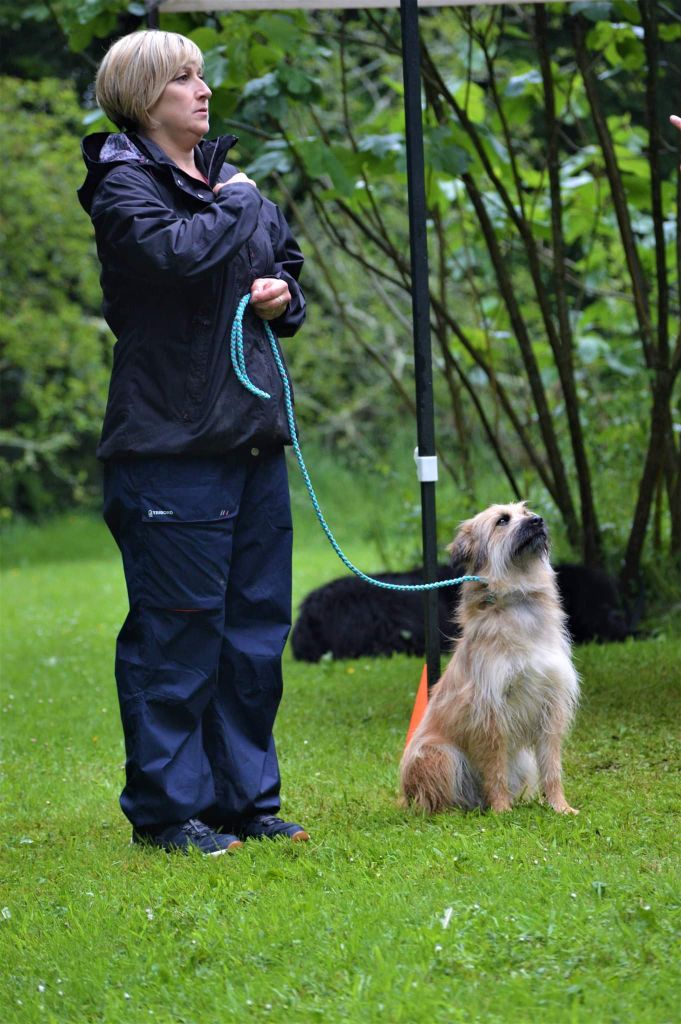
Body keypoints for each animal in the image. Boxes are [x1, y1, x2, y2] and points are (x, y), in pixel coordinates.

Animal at [399, 503, 577, 815]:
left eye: (527, 511)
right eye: (502, 521)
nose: (538, 521)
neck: (518, 598)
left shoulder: (551, 702)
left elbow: (552, 766)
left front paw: (560, 806)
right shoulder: (489, 710)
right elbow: (495, 768)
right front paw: (502, 810)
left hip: (522, 760)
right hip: (438, 755)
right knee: (436, 798)